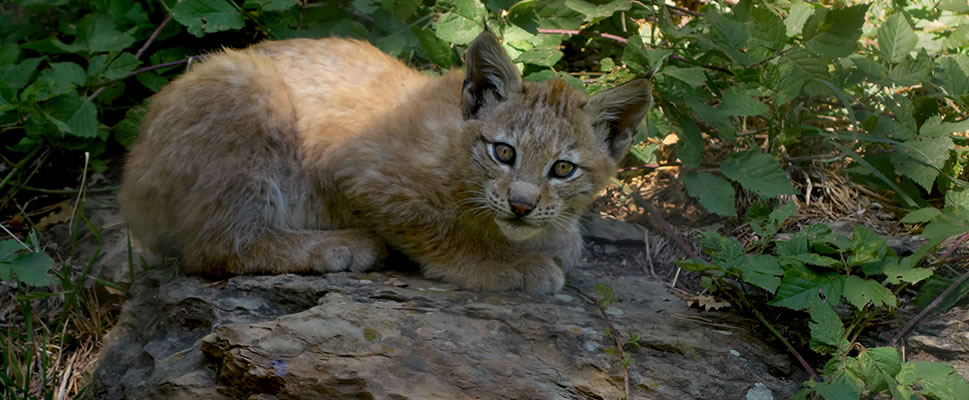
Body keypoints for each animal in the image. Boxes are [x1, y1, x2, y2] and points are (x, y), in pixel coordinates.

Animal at [121, 31, 652, 292]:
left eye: (563, 169)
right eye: (503, 152)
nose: (521, 205)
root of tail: (133, 166)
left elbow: (565, 236)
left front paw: (554, 238)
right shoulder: (360, 168)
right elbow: (439, 225)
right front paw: (500, 264)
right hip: (245, 80)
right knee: (211, 247)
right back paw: (338, 245)